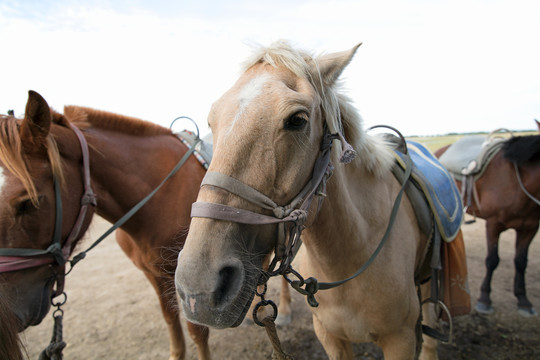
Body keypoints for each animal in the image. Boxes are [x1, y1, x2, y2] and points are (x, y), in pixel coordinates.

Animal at [0, 90, 211, 360]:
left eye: (27, 203)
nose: (8, 316)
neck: (159, 196)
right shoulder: (154, 275)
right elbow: (171, 322)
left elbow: (197, 333)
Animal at [174, 40, 452, 358]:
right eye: (212, 120)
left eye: (298, 120)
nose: (198, 287)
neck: (353, 253)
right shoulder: (330, 336)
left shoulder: (401, 339)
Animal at [434, 131, 540, 316]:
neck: (519, 178)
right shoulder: (493, 224)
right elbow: (492, 260)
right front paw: (484, 299)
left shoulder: (531, 226)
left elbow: (521, 261)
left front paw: (523, 300)